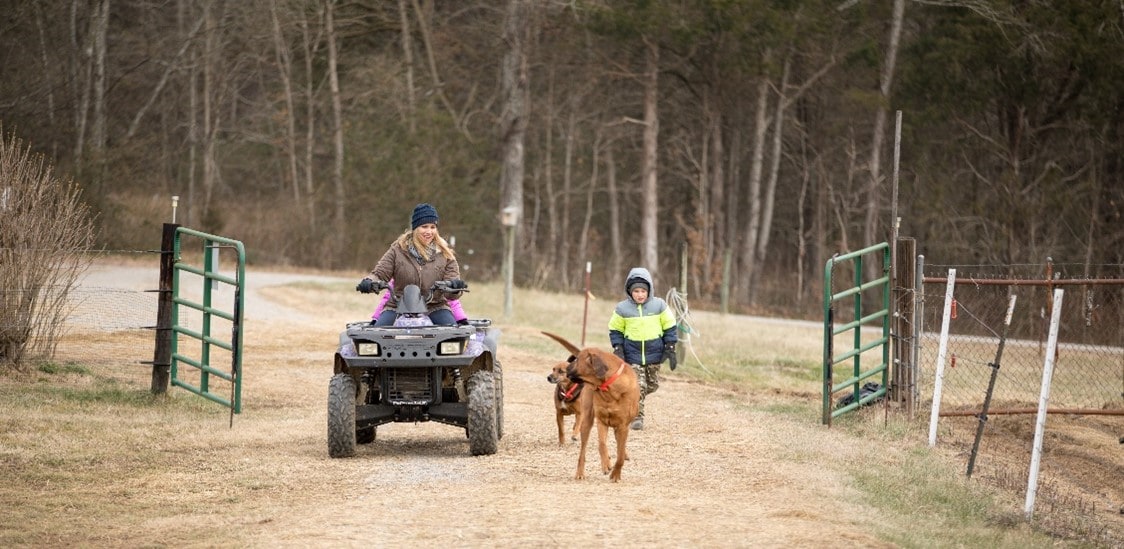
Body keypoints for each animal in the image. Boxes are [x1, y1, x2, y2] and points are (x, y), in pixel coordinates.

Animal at [544, 330, 642, 481]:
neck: (609, 387)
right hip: (587, 420)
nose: (567, 368)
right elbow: (602, 444)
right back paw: (581, 473)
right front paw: (607, 465)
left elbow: (619, 455)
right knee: (583, 451)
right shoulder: (602, 421)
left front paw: (616, 473)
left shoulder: (623, 425)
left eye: (577, 360)